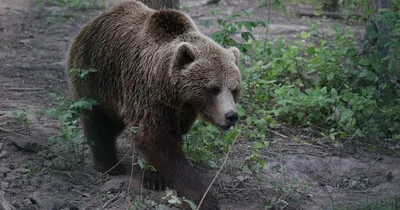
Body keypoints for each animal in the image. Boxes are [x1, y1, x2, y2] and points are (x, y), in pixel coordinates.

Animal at [66, 0, 241, 209]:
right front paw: (203, 198)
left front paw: (156, 176)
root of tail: (92, 22)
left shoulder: (182, 109)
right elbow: (156, 139)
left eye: (234, 89)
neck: (172, 90)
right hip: (95, 75)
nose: (231, 115)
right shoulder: (147, 94)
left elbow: (169, 136)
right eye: (213, 88)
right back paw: (108, 164)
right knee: (98, 121)